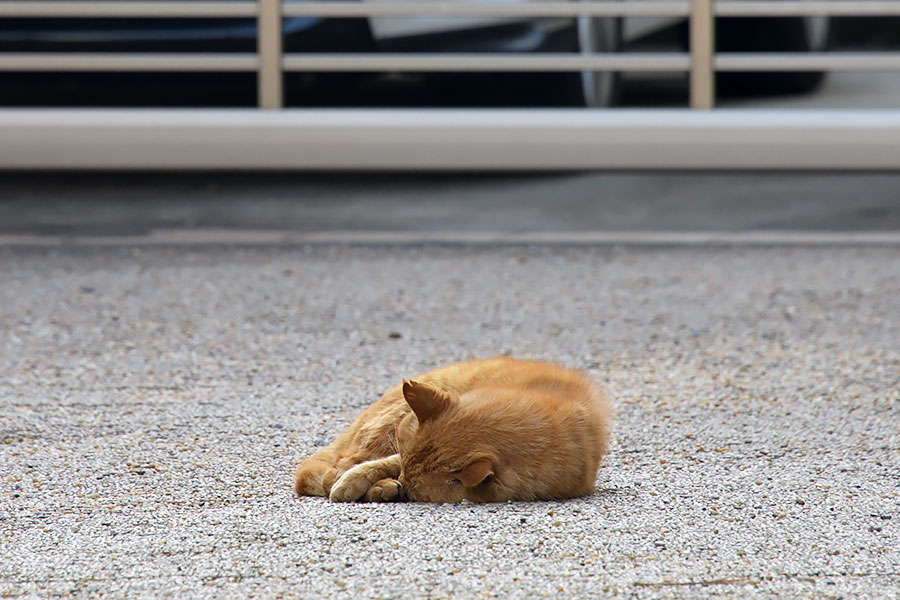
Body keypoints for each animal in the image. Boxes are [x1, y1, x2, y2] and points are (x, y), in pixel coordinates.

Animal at [296, 356, 612, 502]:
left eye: (416, 492)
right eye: (406, 474)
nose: (402, 484)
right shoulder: (400, 450)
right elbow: (380, 463)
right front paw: (355, 482)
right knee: (330, 472)